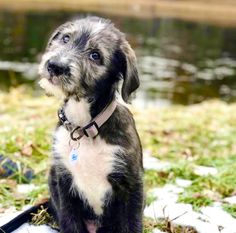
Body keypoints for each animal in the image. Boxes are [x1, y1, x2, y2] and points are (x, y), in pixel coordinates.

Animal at [0, 16, 143, 233]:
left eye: (95, 55)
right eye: (66, 38)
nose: (55, 66)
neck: (84, 127)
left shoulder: (131, 185)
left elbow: (132, 223)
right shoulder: (64, 183)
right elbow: (70, 222)